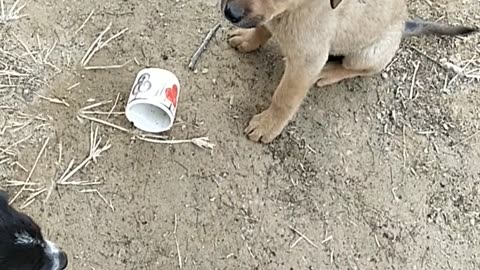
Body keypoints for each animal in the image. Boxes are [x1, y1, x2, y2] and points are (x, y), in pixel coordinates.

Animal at [221, 0, 476, 143]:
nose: (230, 12)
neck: (296, 9)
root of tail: (404, 26)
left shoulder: (307, 62)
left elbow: (284, 99)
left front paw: (267, 126)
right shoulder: (271, 19)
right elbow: (263, 28)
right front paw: (247, 40)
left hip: (366, 54)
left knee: (357, 69)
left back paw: (329, 72)